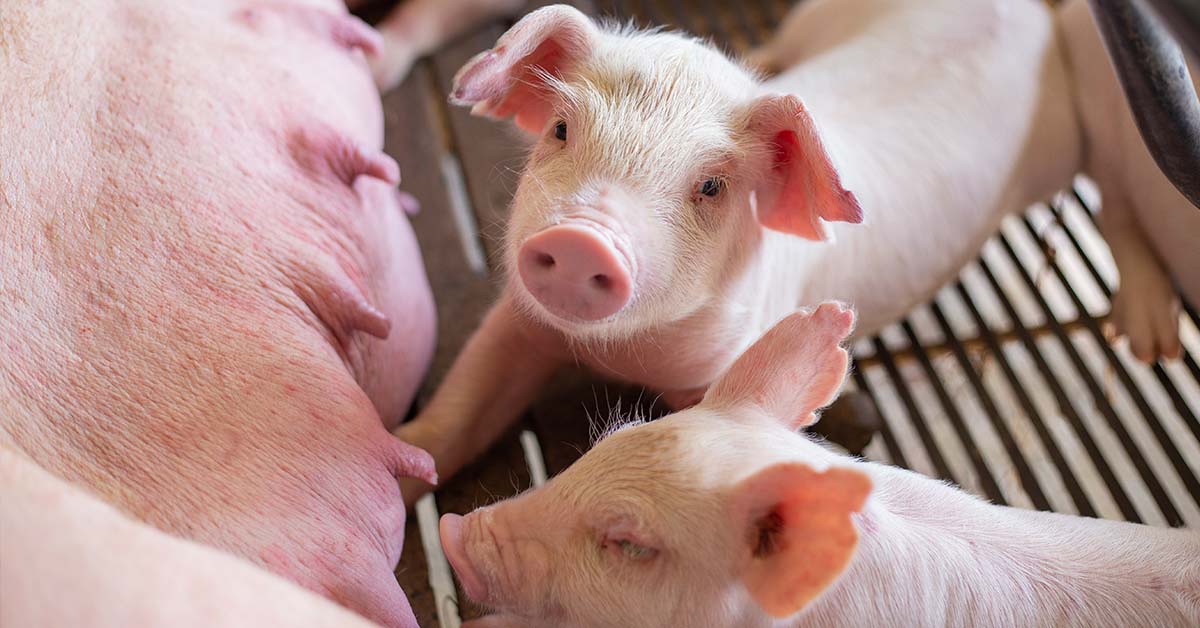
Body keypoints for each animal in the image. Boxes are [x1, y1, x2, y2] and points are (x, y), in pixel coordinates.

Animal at [396, 0, 1080, 500]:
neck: (625, 354)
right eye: (561, 129)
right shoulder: (519, 321)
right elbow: (461, 404)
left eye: (711, 186)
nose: (581, 239)